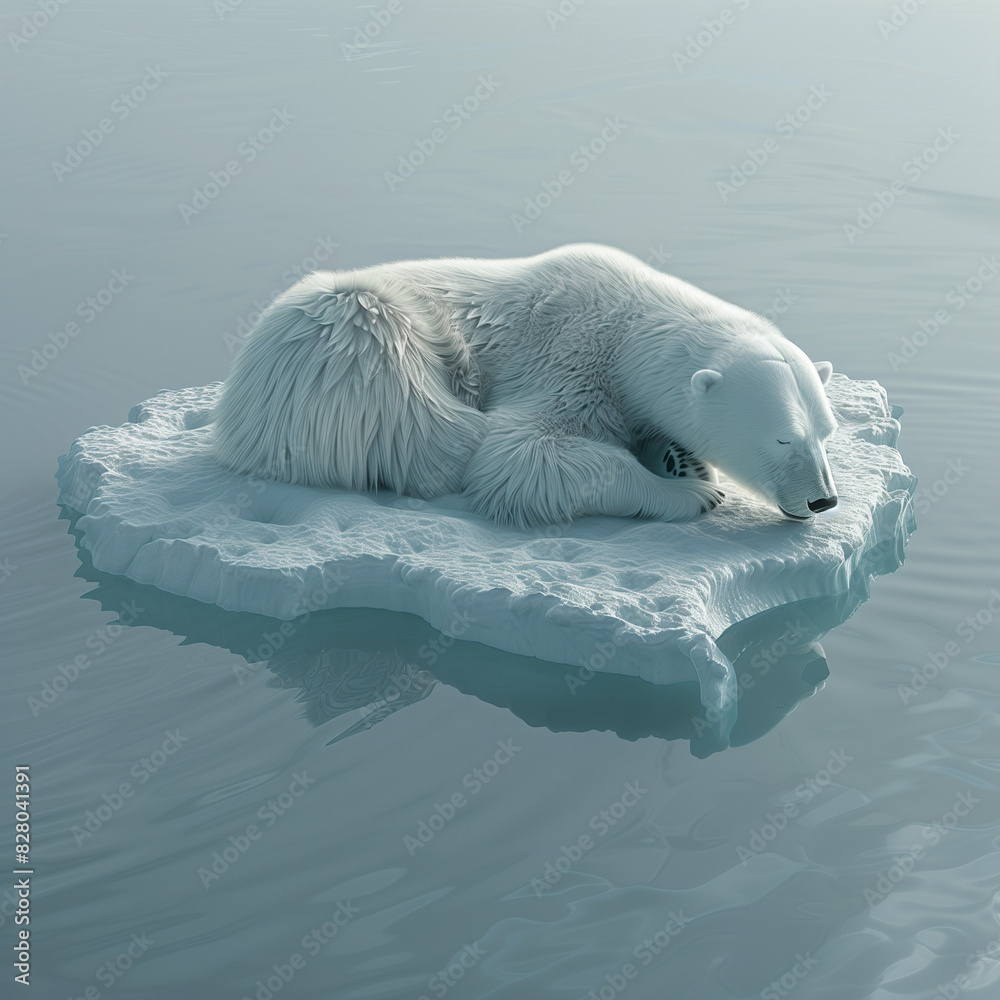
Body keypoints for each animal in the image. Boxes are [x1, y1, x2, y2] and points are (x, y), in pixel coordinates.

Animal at [213, 243, 838, 526]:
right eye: (782, 437)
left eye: (826, 432)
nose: (823, 499)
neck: (627, 326)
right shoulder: (571, 360)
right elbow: (522, 458)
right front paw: (691, 492)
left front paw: (680, 458)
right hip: (348, 339)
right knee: (430, 430)